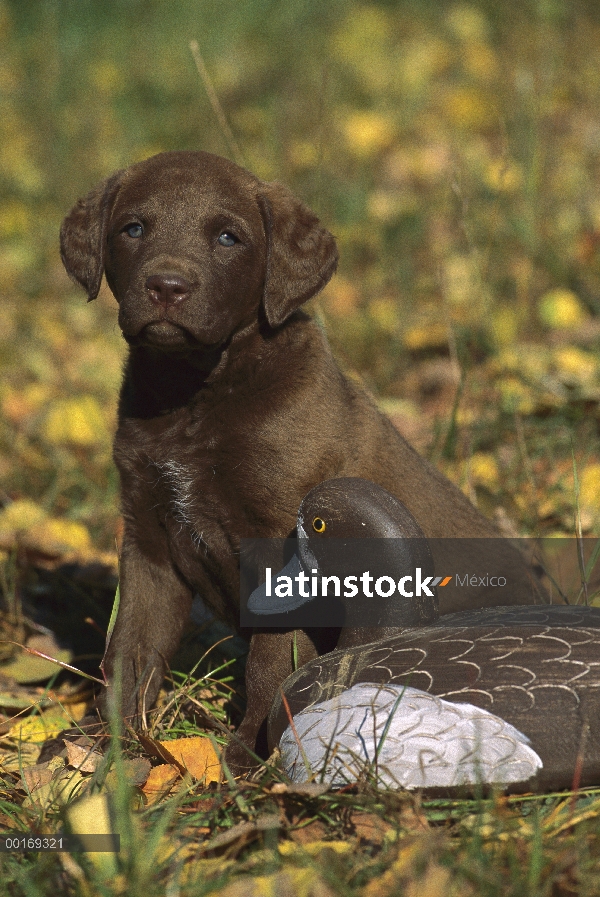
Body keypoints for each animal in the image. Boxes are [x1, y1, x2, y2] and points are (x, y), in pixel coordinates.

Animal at [61, 152, 540, 768]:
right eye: (133, 228)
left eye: (228, 237)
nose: (167, 286)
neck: (198, 391)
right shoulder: (148, 540)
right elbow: (130, 648)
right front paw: (108, 749)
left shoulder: (280, 544)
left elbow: (271, 662)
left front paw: (248, 757)